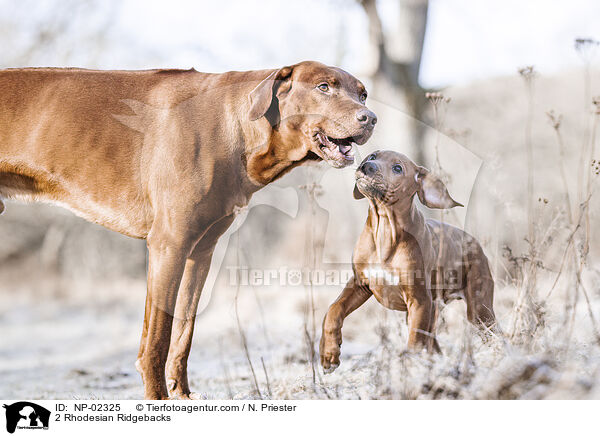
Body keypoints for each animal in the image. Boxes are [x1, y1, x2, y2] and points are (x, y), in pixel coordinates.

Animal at [0, 60, 376, 398]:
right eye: (323, 87)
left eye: (363, 94)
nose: (370, 118)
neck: (233, 126)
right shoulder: (169, 245)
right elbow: (157, 340)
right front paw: (157, 399)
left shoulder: (201, 252)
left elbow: (183, 330)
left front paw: (181, 394)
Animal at [322, 150, 494, 372]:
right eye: (372, 156)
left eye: (398, 168)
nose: (367, 166)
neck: (385, 229)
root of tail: (475, 243)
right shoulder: (359, 284)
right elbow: (333, 310)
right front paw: (329, 354)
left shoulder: (419, 299)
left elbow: (413, 342)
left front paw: (407, 368)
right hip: (436, 309)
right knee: (433, 344)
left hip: (479, 310)